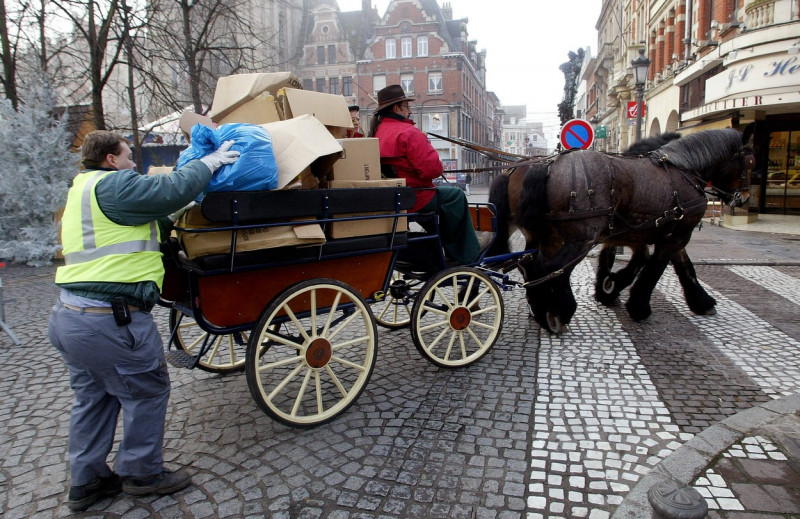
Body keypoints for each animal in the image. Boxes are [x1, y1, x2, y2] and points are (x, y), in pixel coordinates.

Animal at [488, 129, 756, 334]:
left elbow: (674, 265)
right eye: (750, 163)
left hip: (546, 236)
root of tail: (545, 164)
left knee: (532, 265)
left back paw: (540, 309)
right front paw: (637, 305)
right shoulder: (677, 234)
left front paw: (609, 287)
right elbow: (656, 268)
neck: (684, 170)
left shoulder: (650, 233)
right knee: (551, 269)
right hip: (580, 238)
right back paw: (559, 312)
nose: (743, 198)